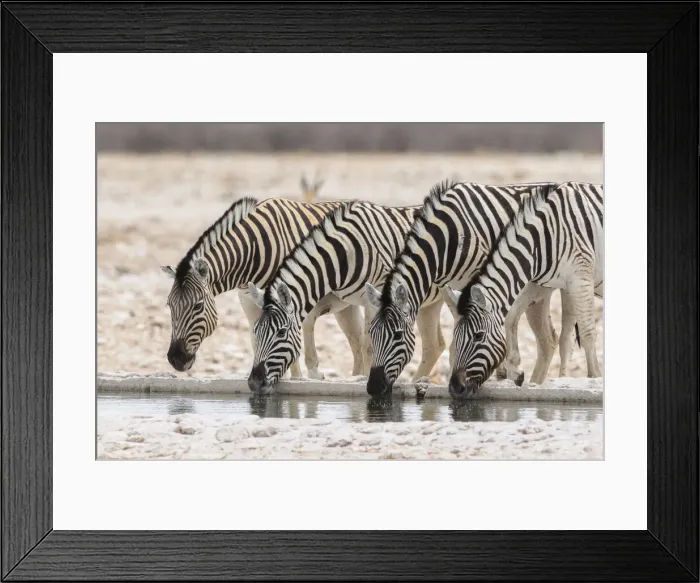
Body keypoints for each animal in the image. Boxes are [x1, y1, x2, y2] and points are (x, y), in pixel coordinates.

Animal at [161, 195, 367, 380]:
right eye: (169, 306)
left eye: (198, 306)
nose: (176, 360)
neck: (251, 251)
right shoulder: (247, 300)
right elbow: (257, 341)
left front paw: (293, 380)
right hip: (346, 306)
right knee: (359, 346)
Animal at [246, 199, 448, 393]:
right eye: (256, 331)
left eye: (281, 332)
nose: (254, 383)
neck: (344, 253)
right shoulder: (337, 299)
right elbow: (314, 324)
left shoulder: (374, 298)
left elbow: (368, 346)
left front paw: (365, 379)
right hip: (429, 303)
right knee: (433, 346)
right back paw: (416, 382)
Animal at [364, 179, 579, 396]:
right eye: (371, 334)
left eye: (398, 336)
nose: (374, 387)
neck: (448, 236)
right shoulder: (445, 284)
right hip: (541, 288)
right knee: (547, 340)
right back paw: (535, 383)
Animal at [448, 181, 603, 398]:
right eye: (455, 337)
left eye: (478, 336)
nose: (455, 388)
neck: (543, 237)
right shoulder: (545, 284)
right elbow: (514, 317)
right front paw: (516, 372)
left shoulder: (580, 279)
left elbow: (588, 333)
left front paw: (595, 379)